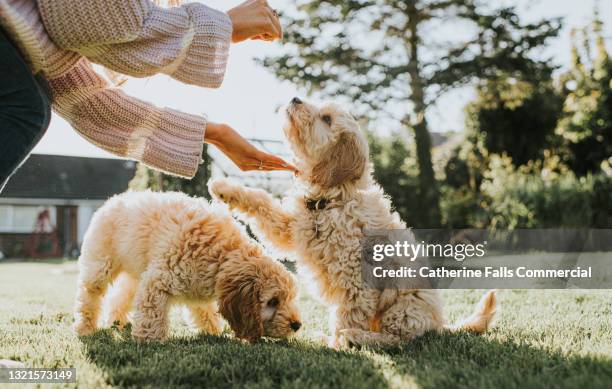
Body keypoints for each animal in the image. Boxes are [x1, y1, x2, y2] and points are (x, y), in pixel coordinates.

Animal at [73, 189, 302, 342]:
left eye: (291, 298)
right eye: (273, 301)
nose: (297, 325)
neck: (222, 251)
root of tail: (112, 201)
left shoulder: (197, 285)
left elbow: (204, 311)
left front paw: (212, 331)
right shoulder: (158, 281)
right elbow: (152, 314)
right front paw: (149, 341)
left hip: (136, 273)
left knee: (121, 296)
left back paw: (117, 321)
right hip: (100, 265)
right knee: (89, 295)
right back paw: (85, 326)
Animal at [210, 97, 498, 346]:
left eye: (326, 118)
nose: (295, 98)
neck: (331, 201)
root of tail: (439, 324)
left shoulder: (356, 283)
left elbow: (348, 316)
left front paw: (338, 343)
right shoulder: (291, 229)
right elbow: (263, 202)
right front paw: (223, 188)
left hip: (403, 307)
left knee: (398, 339)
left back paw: (355, 338)